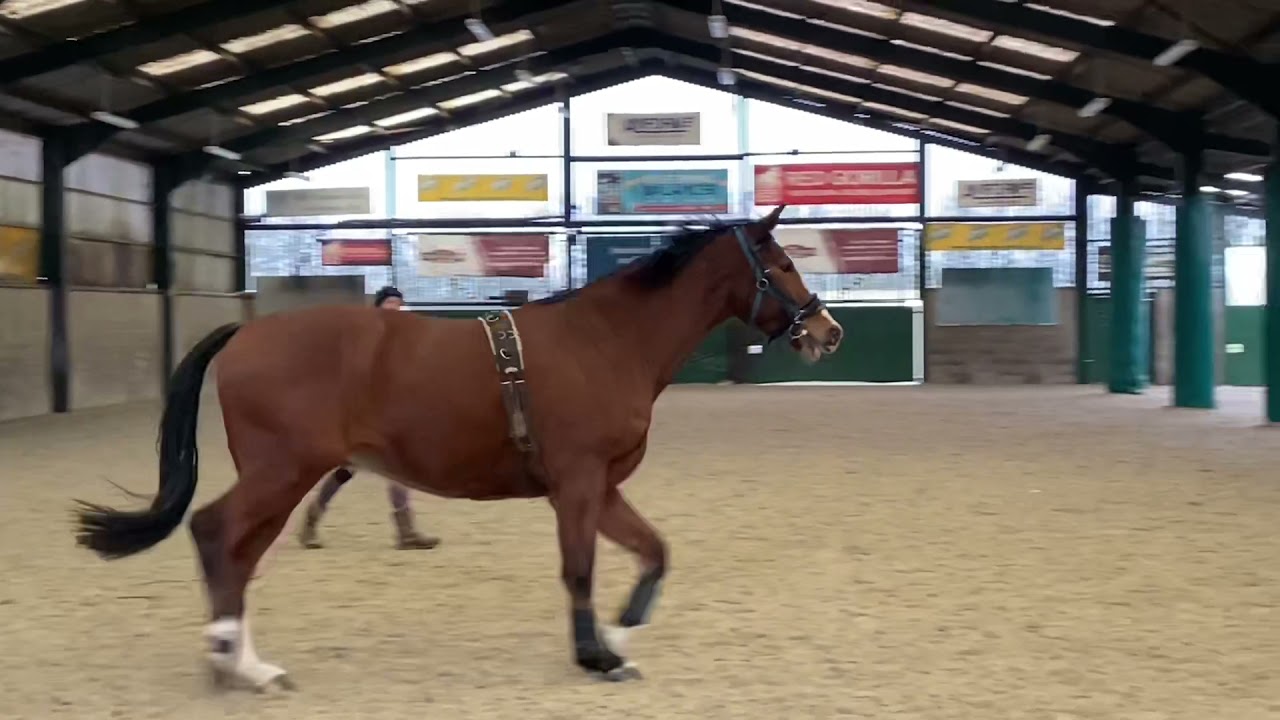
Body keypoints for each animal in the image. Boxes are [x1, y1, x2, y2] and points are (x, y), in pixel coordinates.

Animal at [72, 204, 844, 689]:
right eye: (780, 262)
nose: (827, 331)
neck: (606, 340)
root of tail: (248, 331)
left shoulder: (599, 486)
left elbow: (653, 551)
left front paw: (620, 639)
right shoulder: (578, 483)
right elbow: (579, 570)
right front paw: (595, 655)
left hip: (283, 477)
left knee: (237, 552)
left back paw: (244, 663)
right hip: (282, 471)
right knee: (215, 533)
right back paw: (230, 658)